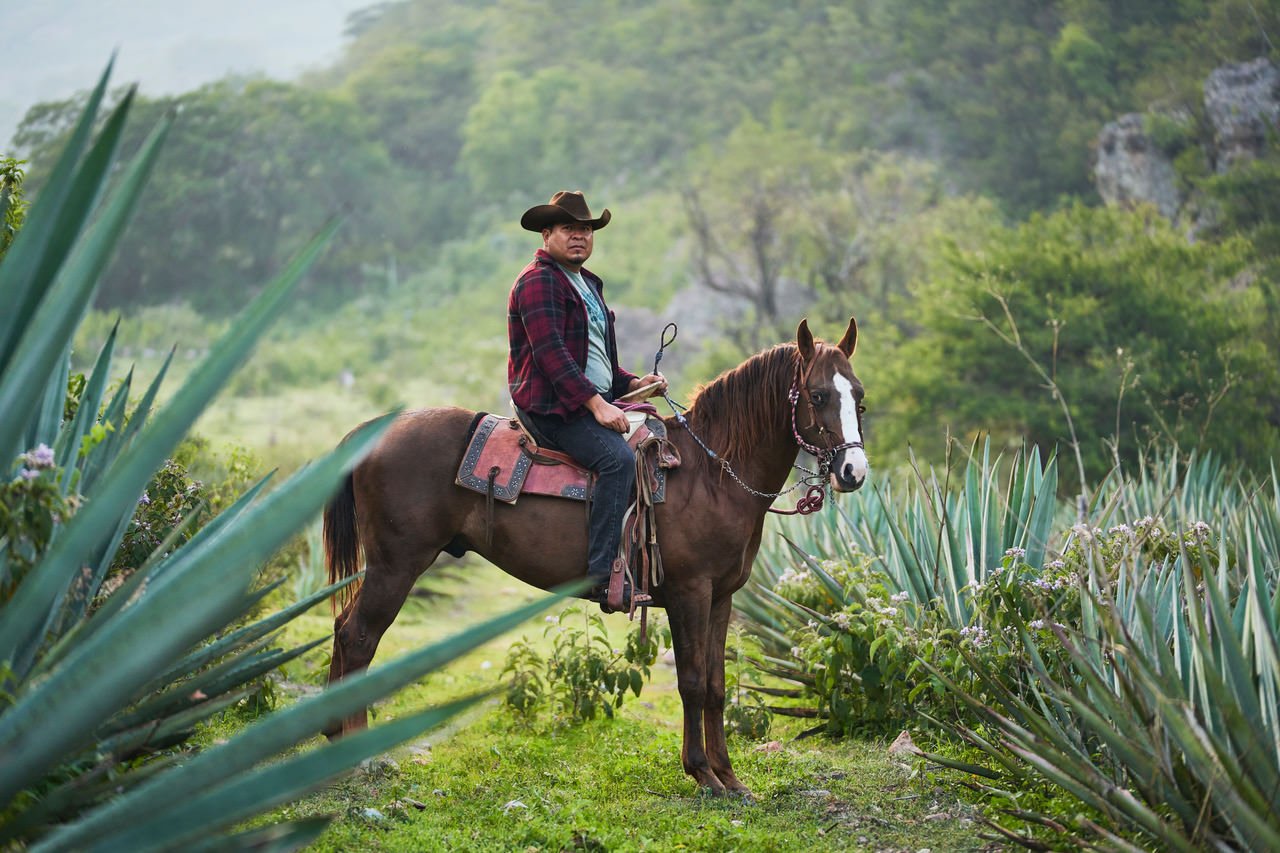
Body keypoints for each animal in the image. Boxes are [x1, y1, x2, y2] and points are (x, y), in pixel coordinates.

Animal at [323, 317, 868, 796]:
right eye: (818, 395)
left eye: (858, 396)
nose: (853, 471)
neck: (711, 474)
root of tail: (372, 433)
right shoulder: (689, 593)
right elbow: (692, 682)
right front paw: (703, 775)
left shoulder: (722, 597)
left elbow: (715, 685)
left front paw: (730, 779)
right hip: (397, 565)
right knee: (359, 637)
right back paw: (352, 753)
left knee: (344, 628)